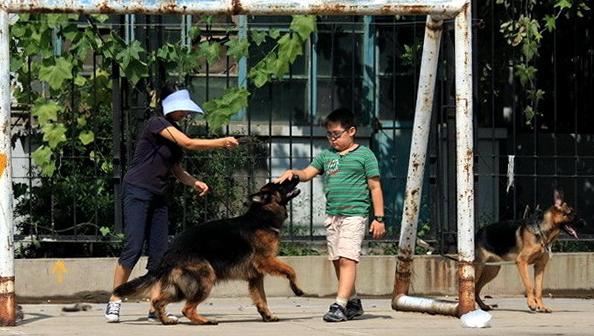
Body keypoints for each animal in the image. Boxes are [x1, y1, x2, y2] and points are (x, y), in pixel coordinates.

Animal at [113, 177, 302, 324]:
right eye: (280, 184)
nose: (296, 176)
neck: (262, 217)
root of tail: (170, 252)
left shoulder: (256, 276)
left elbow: (261, 298)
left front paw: (267, 315)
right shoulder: (266, 261)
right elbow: (291, 270)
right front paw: (297, 289)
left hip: (179, 290)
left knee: (158, 300)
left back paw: (166, 320)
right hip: (205, 278)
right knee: (186, 309)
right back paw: (204, 321)